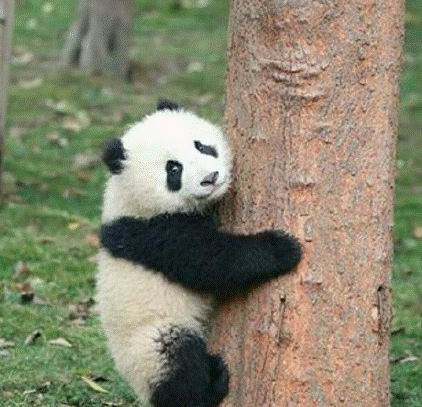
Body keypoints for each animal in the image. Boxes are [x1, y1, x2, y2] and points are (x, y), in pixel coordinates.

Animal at [96, 100, 302, 407]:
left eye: (202, 146)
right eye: (173, 169)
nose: (210, 178)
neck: (129, 197)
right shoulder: (153, 233)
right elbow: (211, 261)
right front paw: (283, 248)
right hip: (148, 343)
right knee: (178, 362)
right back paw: (211, 385)